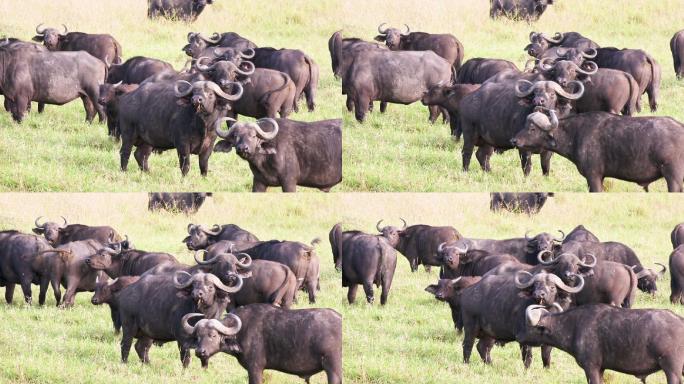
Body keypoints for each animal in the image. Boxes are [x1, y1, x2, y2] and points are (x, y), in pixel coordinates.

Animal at [182, 304, 342, 382]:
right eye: (197, 336)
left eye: (213, 335)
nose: (200, 352)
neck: (243, 328)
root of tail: (339, 318)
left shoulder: (255, 369)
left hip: (333, 370)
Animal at [512, 109, 684, 192]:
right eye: (525, 125)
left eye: (532, 128)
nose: (514, 140)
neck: (576, 133)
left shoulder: (593, 177)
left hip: (673, 178)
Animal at [520, 304, 684, 384]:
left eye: (528, 325)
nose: (518, 336)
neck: (574, 325)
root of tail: (680, 320)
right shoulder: (601, 369)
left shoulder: (591, 368)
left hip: (672, 371)